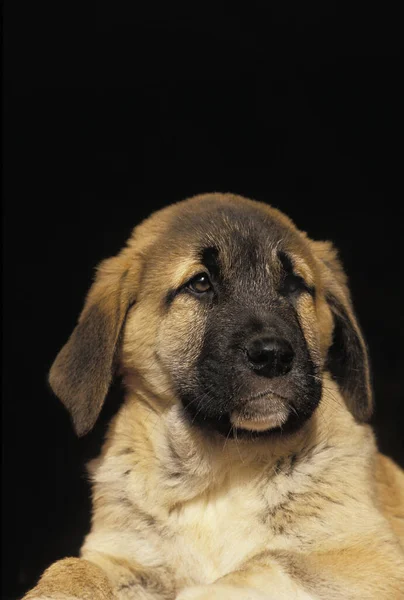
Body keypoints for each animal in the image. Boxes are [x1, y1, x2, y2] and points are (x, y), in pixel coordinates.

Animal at [23, 193, 402, 600]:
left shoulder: (373, 558)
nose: (273, 355)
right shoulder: (124, 554)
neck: (219, 467)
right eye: (201, 283)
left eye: (294, 285)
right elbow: (73, 568)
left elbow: (268, 563)